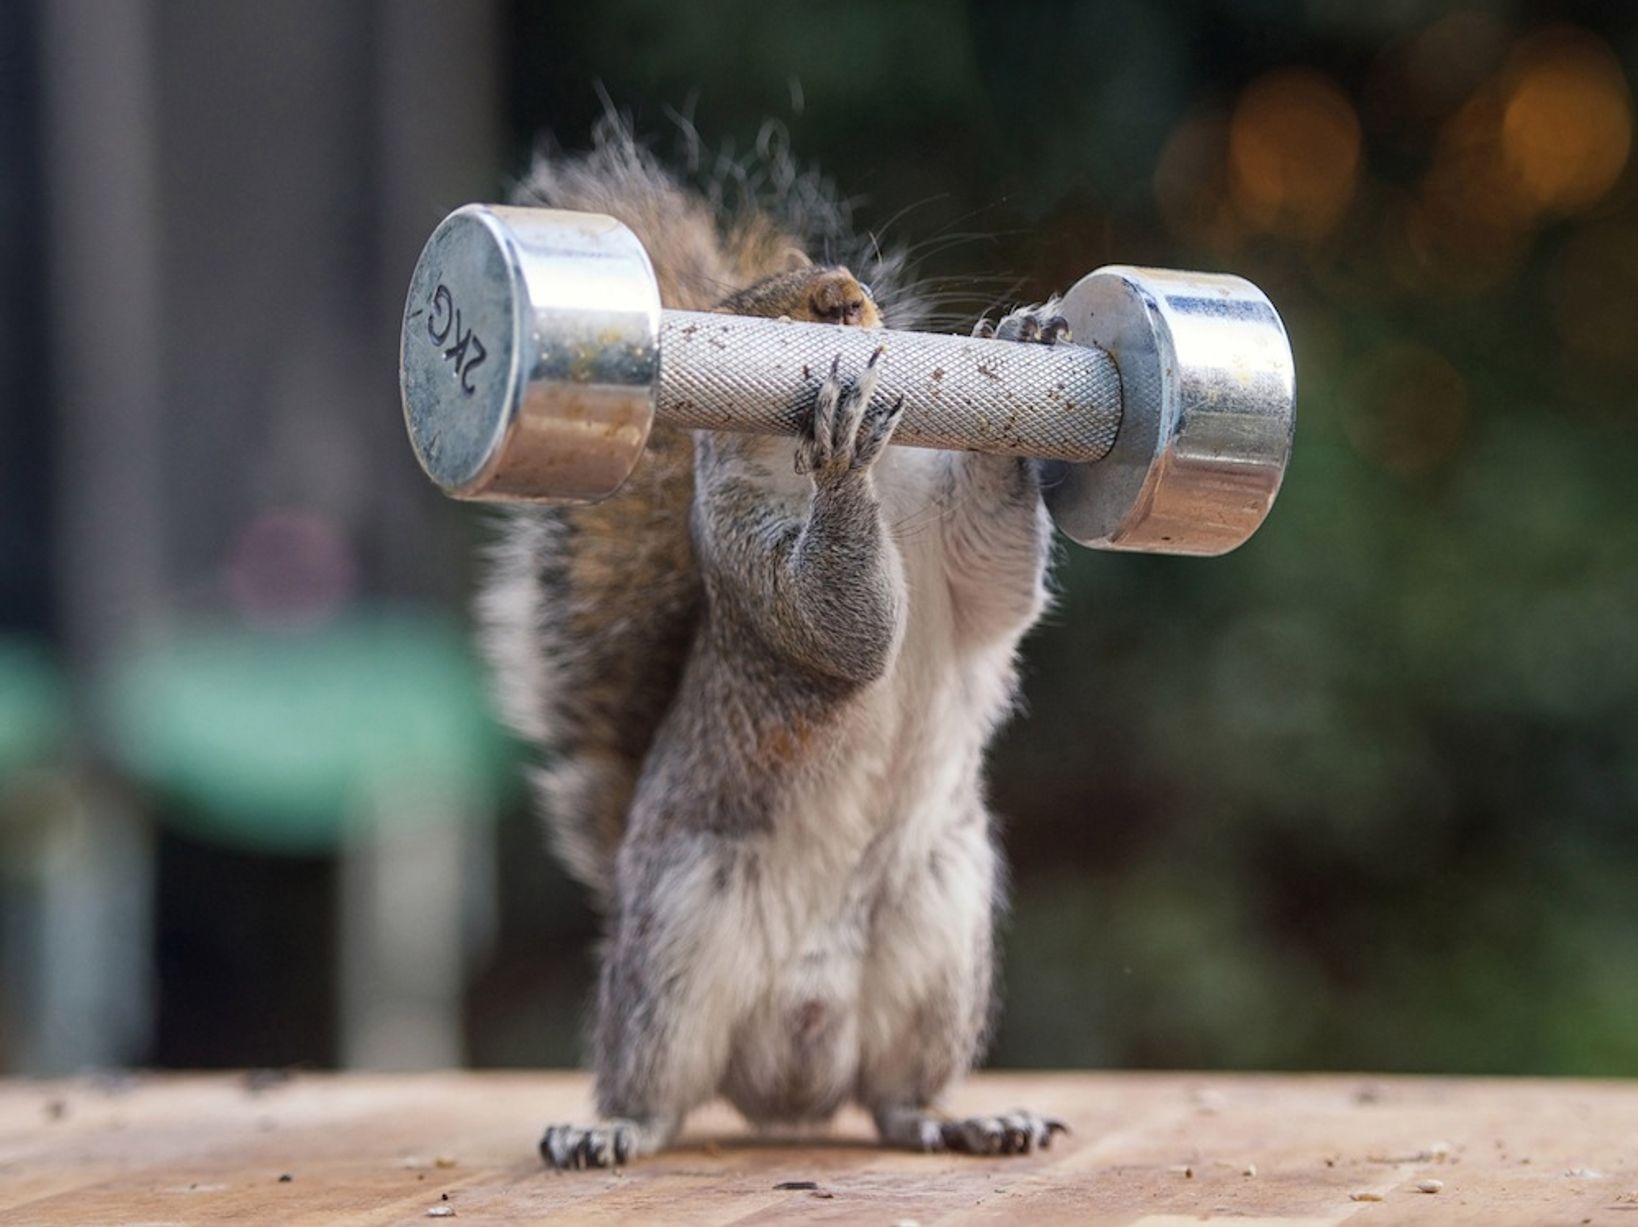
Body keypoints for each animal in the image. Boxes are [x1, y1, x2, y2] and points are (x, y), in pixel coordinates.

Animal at [478, 117, 1070, 1168]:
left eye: (840, 273)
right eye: (741, 310)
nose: (841, 298)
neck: (887, 498)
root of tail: (794, 1075)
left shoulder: (957, 561)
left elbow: (994, 571)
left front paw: (1021, 352)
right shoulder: (745, 551)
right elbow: (839, 623)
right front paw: (839, 457)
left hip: (940, 939)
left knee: (896, 1099)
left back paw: (966, 1118)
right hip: (677, 943)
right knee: (658, 1082)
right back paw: (612, 1127)